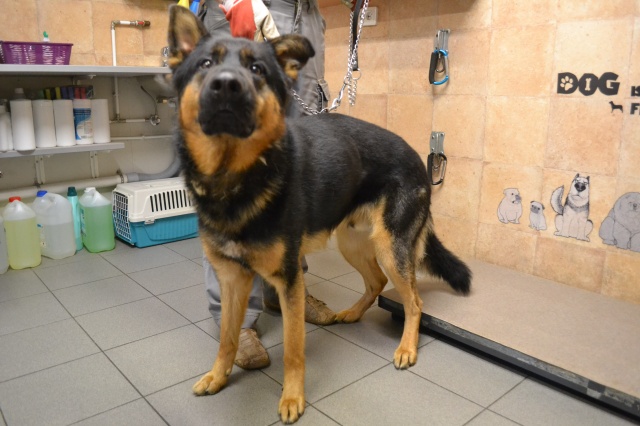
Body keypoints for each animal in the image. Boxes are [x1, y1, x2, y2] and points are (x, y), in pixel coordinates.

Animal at [167, 6, 471, 423]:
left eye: (257, 69)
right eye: (206, 64)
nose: (227, 85)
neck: (235, 177)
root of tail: (417, 158)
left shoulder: (289, 281)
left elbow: (294, 349)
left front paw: (292, 398)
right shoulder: (232, 280)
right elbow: (228, 338)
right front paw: (218, 376)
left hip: (389, 248)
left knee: (414, 302)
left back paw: (407, 348)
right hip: (353, 243)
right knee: (377, 283)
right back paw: (352, 314)